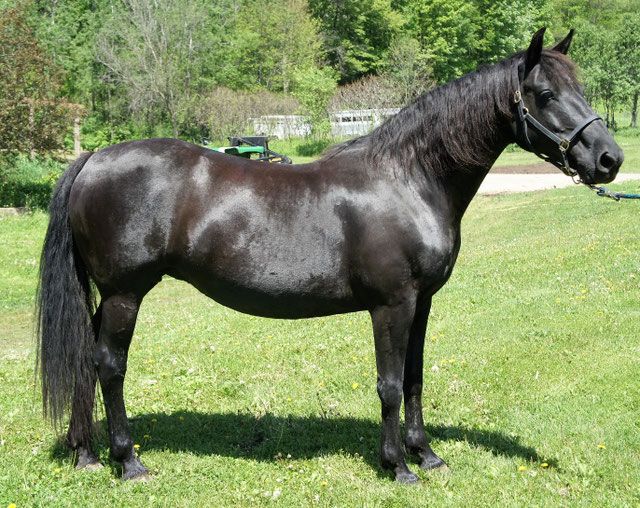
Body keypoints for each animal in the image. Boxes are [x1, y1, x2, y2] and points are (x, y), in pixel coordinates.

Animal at [36, 28, 623, 483]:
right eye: (544, 92)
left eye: (580, 87)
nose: (609, 159)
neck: (408, 179)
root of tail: (92, 158)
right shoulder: (391, 305)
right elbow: (389, 384)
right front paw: (397, 466)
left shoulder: (421, 304)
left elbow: (414, 378)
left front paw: (427, 455)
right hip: (125, 295)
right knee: (109, 366)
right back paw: (129, 462)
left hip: (108, 297)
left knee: (87, 361)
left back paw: (86, 454)